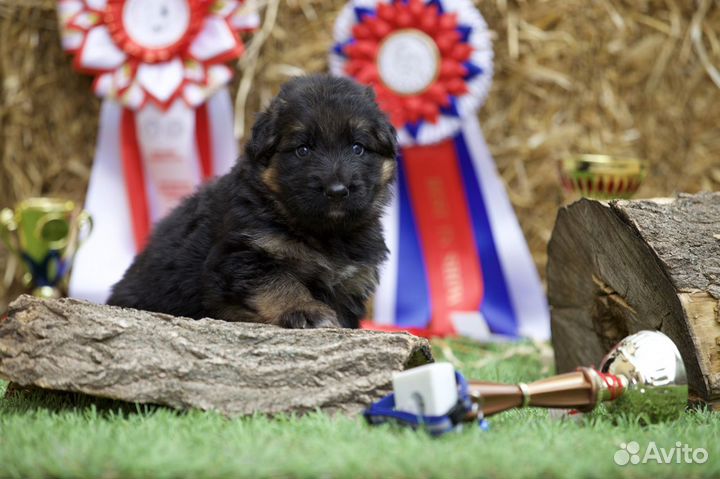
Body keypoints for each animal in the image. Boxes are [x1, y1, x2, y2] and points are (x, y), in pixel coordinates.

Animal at [107, 75, 400, 330]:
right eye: (303, 150)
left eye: (357, 148)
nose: (337, 191)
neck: (324, 233)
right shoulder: (243, 256)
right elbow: (281, 284)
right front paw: (306, 310)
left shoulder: (351, 281)